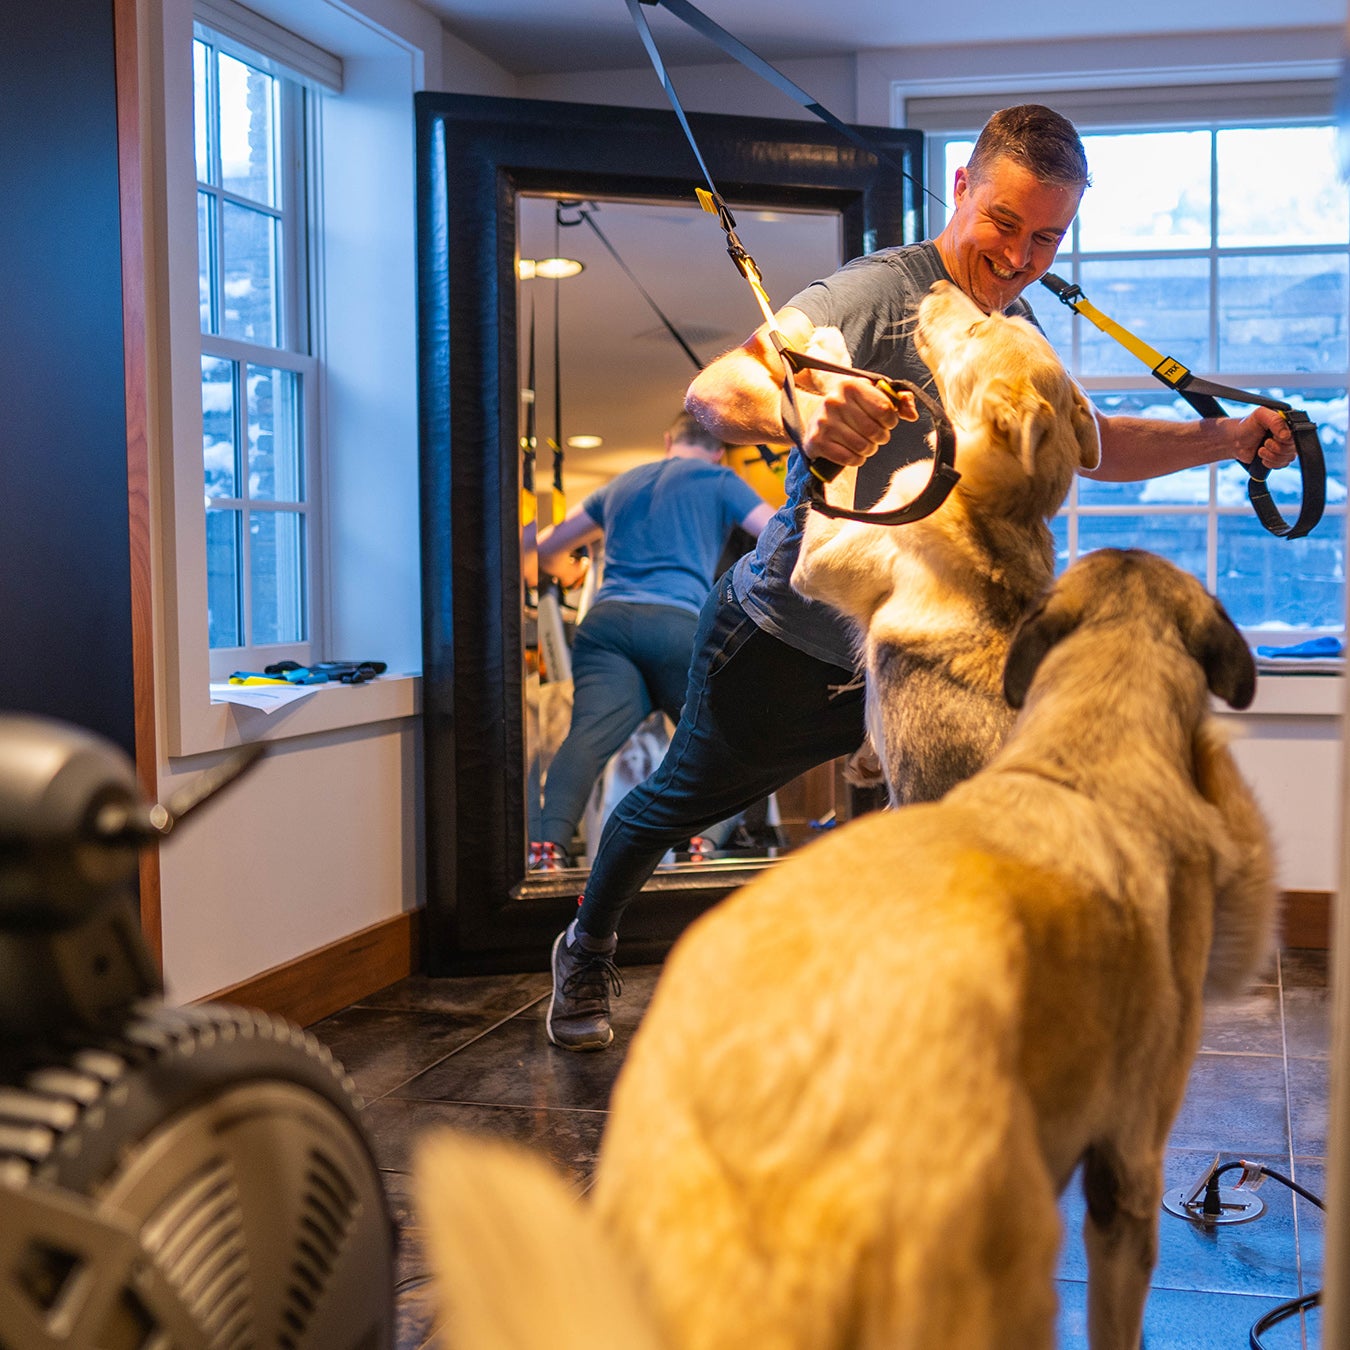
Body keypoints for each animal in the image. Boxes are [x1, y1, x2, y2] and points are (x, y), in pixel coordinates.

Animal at [788, 274, 1096, 799]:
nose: (936, 284)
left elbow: (843, 471)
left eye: (976, 330)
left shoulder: (818, 564)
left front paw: (833, 360)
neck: (975, 496)